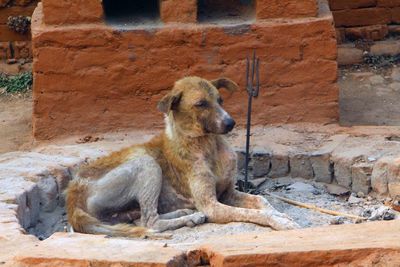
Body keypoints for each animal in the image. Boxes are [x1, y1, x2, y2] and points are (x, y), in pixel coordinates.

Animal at [65, 76, 298, 238]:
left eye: (220, 100)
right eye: (201, 104)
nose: (231, 123)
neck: (208, 145)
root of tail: (73, 192)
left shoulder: (228, 194)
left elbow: (262, 200)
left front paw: (281, 214)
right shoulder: (211, 205)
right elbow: (255, 214)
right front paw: (282, 222)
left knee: (140, 219)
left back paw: (185, 214)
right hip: (147, 164)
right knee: (150, 221)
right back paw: (191, 216)